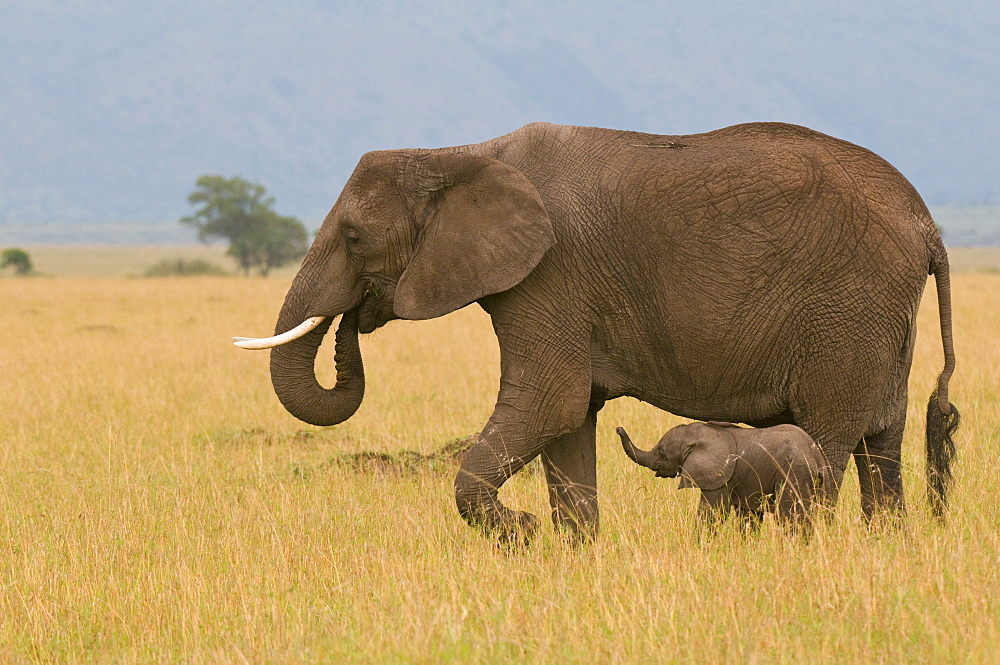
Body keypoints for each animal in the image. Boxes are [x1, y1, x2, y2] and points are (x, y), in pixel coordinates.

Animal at [616, 422, 828, 532]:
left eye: (661, 452)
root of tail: (815, 456)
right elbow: (748, 516)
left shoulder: (718, 476)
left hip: (794, 472)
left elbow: (713, 512)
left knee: (792, 517)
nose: (618, 428)